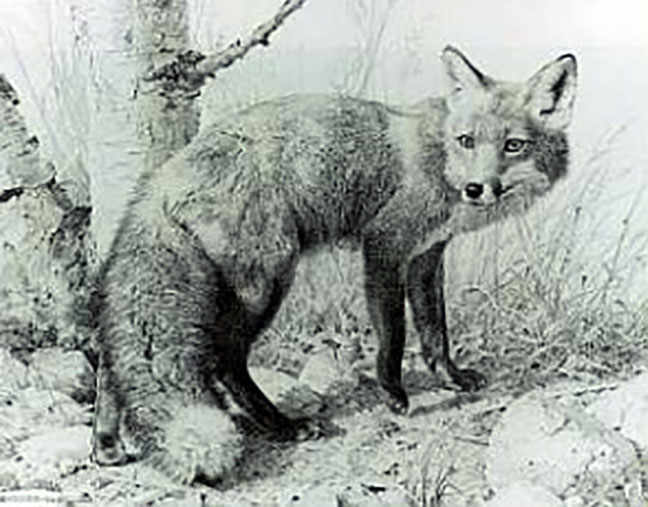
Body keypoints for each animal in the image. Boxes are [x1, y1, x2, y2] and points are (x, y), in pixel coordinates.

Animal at [92, 46, 577, 483]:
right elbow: (395, 335)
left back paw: (106, 445)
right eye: (467, 141)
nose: (476, 188)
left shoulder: (427, 255)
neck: (440, 159)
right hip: (266, 281)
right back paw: (283, 427)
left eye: (513, 146)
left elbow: (434, 332)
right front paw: (393, 395)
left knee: (112, 362)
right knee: (223, 362)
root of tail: (163, 177)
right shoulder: (385, 245)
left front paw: (452, 379)